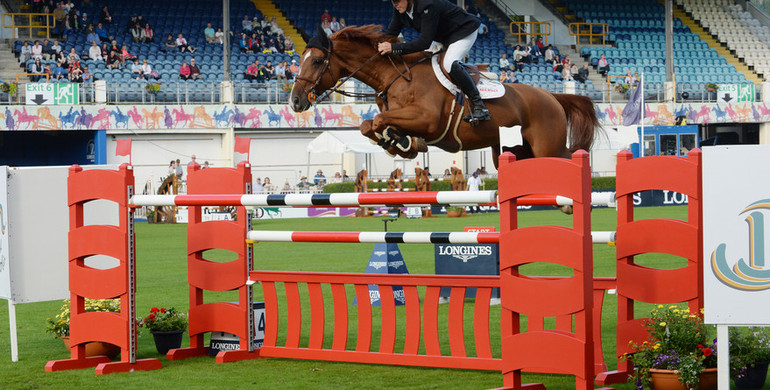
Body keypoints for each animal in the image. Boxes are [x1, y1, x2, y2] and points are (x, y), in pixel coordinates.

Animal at [288, 24, 592, 165]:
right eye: (300, 60)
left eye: (317, 61)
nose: (295, 101)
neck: (394, 77)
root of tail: (552, 98)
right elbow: (368, 124)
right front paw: (399, 143)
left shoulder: (428, 120)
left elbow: (378, 121)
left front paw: (401, 142)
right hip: (512, 150)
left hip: (545, 146)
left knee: (567, 158)